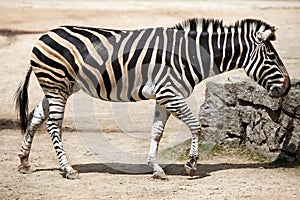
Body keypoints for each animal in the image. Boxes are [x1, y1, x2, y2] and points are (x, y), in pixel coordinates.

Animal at [14, 18, 290, 179]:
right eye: (271, 57)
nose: (287, 86)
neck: (190, 55)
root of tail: (44, 35)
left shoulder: (163, 96)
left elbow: (157, 132)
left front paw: (156, 168)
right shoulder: (170, 93)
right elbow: (196, 125)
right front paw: (191, 164)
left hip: (59, 87)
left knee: (35, 117)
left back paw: (25, 162)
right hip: (56, 84)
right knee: (53, 125)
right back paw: (67, 169)